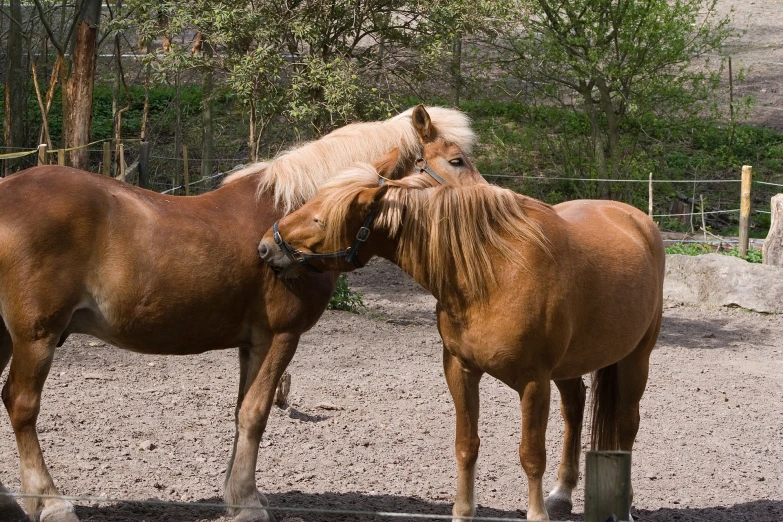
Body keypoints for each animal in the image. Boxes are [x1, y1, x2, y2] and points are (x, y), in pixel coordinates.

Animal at [0, 105, 478, 520]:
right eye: (456, 160)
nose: (486, 204)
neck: (292, 217)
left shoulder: (252, 344)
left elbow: (240, 413)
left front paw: (236, 495)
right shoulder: (280, 336)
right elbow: (255, 414)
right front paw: (248, 503)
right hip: (36, 337)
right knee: (21, 405)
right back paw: (51, 503)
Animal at [260, 131, 664, 520]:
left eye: (318, 218)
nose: (266, 246)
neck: (494, 273)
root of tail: (636, 218)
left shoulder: (534, 382)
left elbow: (531, 455)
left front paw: (536, 514)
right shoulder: (461, 371)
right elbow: (466, 447)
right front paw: (463, 512)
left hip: (636, 360)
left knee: (627, 424)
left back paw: (625, 505)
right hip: (569, 366)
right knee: (575, 407)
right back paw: (563, 493)